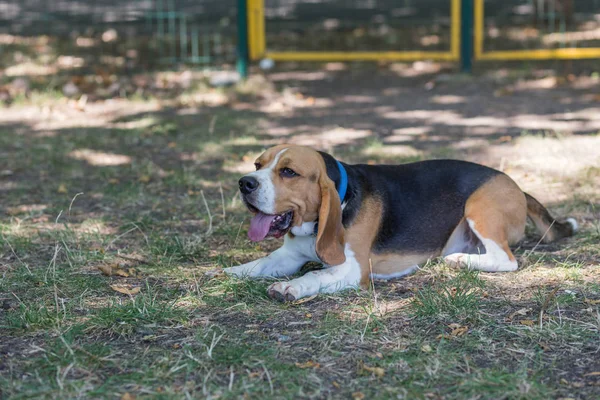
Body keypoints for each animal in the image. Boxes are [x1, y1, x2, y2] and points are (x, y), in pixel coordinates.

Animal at [225, 145, 576, 302]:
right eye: (257, 164)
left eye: (288, 172)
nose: (244, 183)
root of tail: (518, 187)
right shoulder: (287, 256)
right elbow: (259, 264)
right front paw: (227, 272)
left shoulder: (353, 269)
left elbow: (315, 274)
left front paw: (291, 287)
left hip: (480, 207)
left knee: (508, 260)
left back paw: (458, 259)